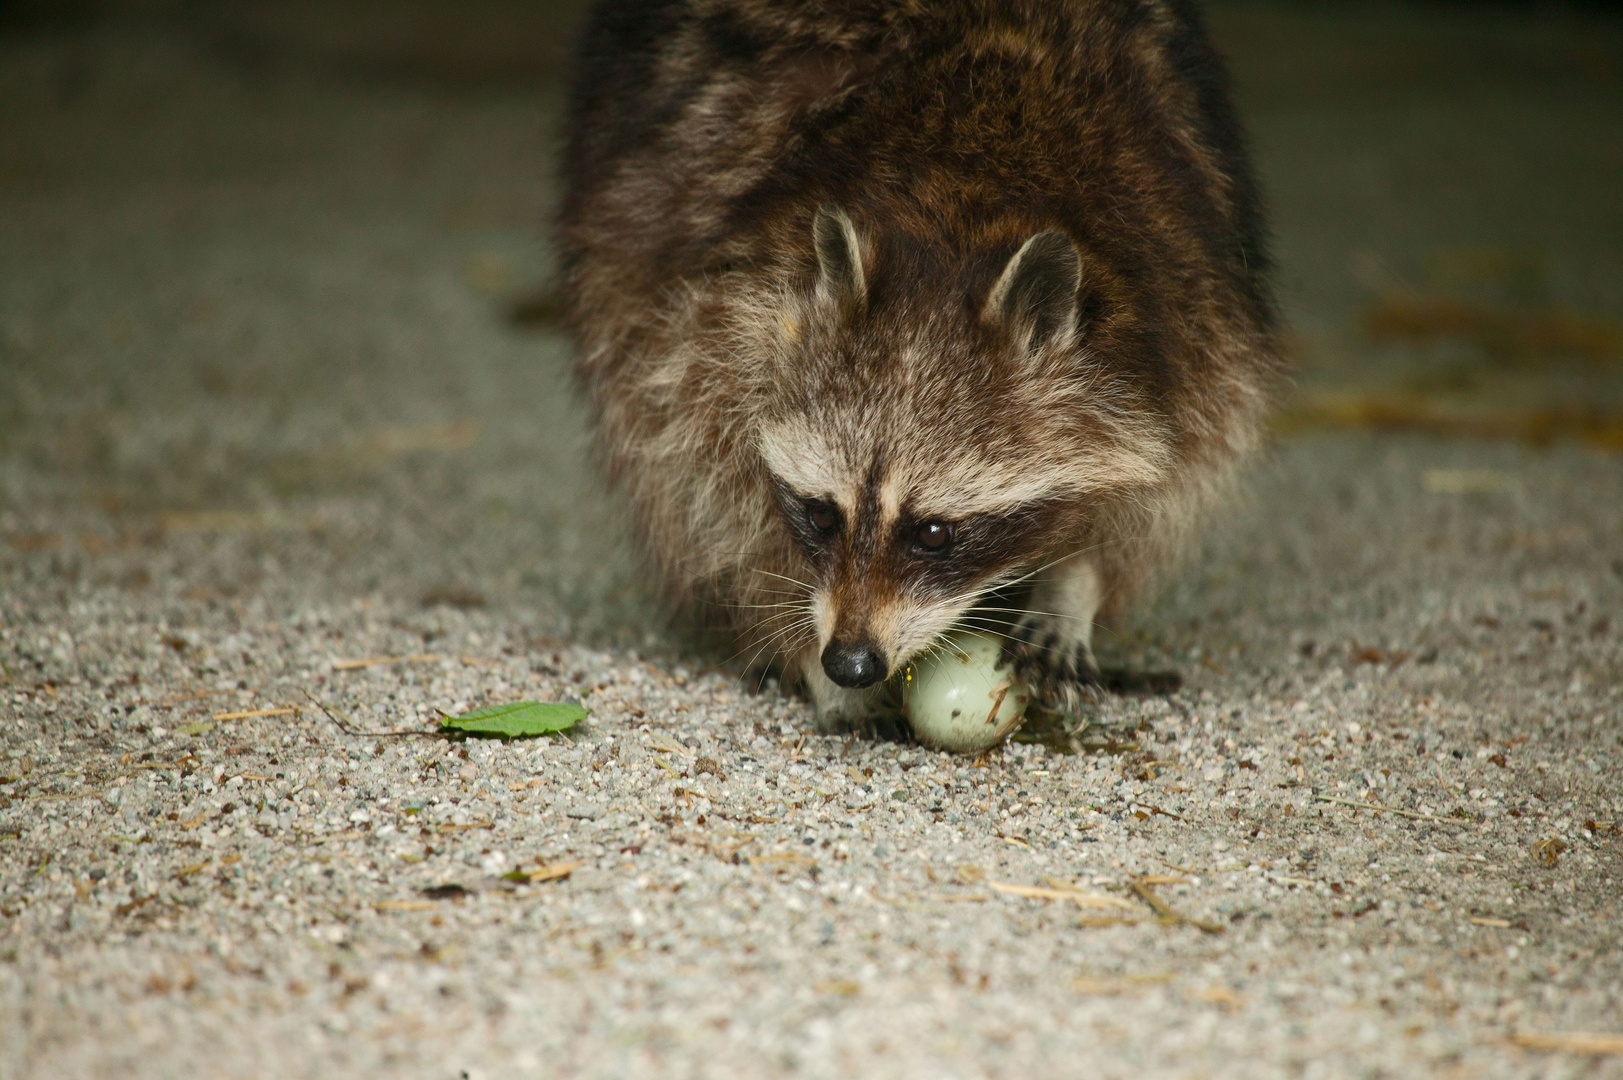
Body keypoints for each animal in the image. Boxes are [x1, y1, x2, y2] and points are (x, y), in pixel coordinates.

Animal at [558, 0, 1278, 724]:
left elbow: (1169, 474)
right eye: (822, 515)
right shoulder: (713, 310)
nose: (849, 660)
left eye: (932, 533)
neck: (962, 207)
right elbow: (697, 481)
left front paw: (1076, 581)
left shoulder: (1188, 304)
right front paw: (791, 627)